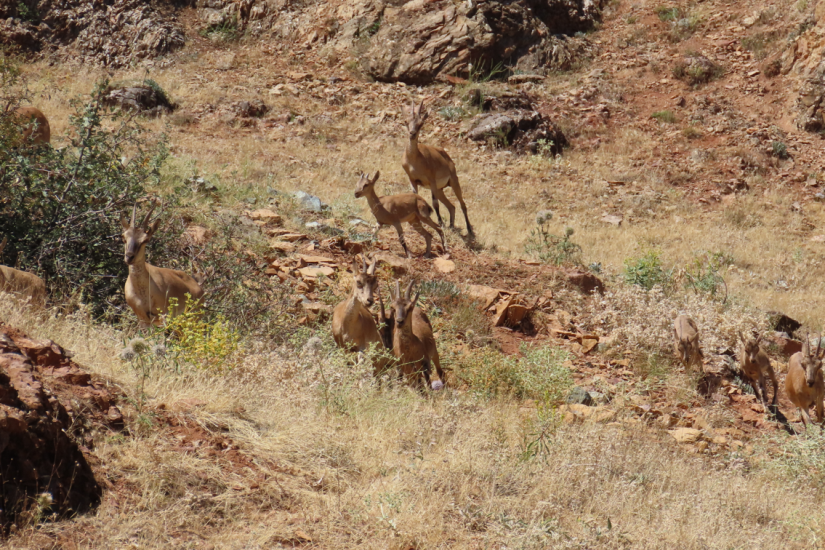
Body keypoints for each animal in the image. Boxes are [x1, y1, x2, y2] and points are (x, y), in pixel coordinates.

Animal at [402, 100, 474, 238]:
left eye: (421, 123)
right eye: (406, 121)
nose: (412, 134)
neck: (415, 159)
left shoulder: (432, 180)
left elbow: (435, 204)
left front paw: (440, 223)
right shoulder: (412, 180)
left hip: (453, 182)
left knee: (462, 204)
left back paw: (469, 230)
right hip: (440, 189)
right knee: (451, 206)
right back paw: (451, 226)